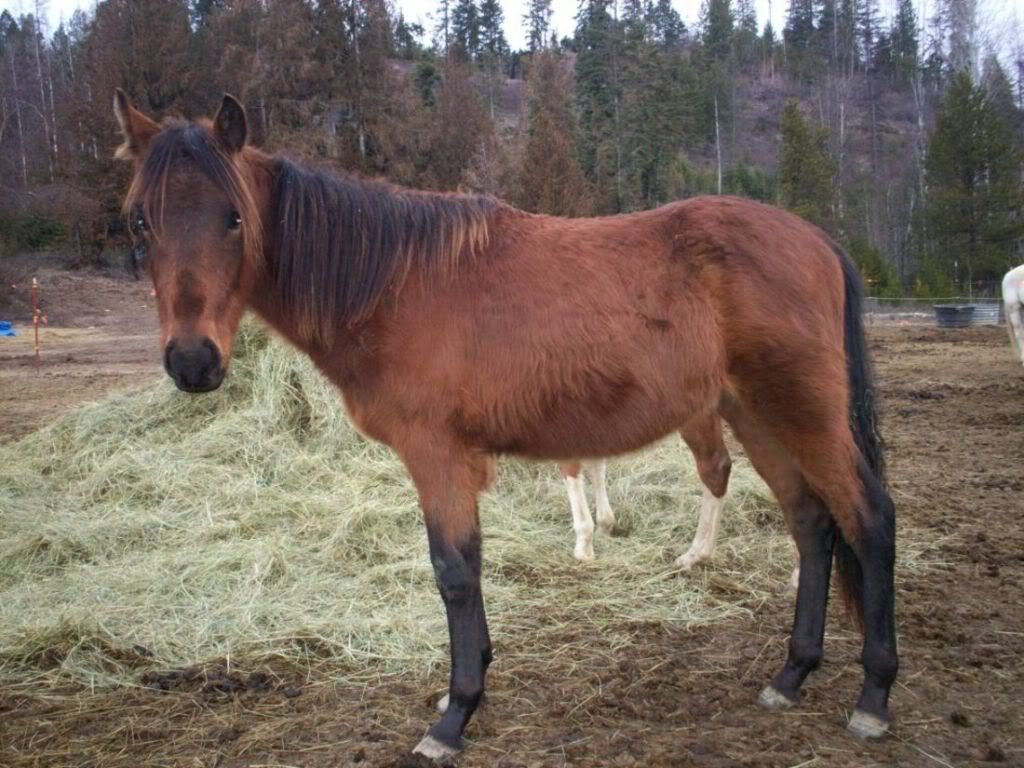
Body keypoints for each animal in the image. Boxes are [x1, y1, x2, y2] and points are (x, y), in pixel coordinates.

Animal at [112, 91, 897, 765]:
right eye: (141, 221)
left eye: (233, 218)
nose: (193, 362)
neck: (394, 282)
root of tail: (819, 242)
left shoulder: (438, 457)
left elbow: (455, 573)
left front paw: (455, 715)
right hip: (755, 416)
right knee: (811, 524)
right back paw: (791, 676)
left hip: (802, 413)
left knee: (868, 519)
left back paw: (873, 695)